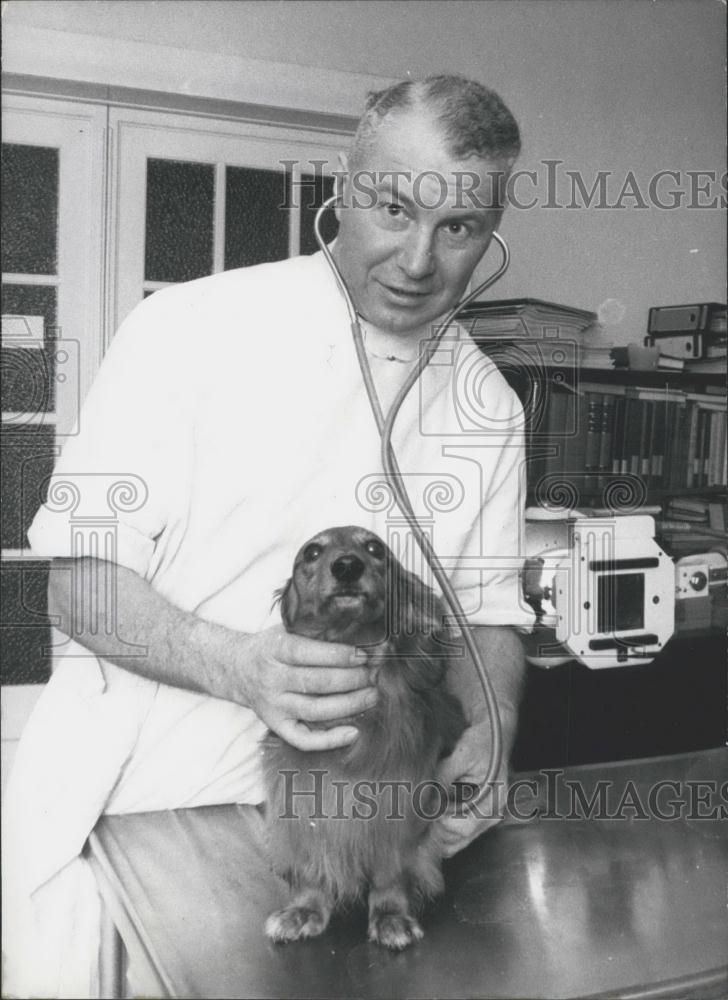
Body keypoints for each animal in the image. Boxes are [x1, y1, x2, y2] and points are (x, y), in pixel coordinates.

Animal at [264, 528, 466, 948]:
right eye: (312, 552)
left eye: (374, 548)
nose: (346, 566)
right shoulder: (302, 803)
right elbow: (311, 867)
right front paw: (304, 909)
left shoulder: (397, 813)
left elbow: (390, 872)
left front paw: (391, 916)